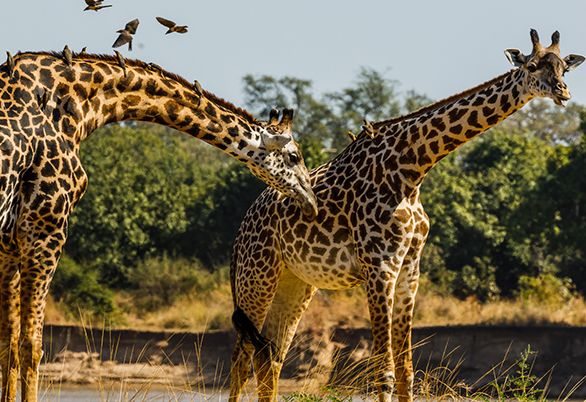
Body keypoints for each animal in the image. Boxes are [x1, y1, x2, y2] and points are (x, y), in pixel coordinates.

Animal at [0, 48, 318, 402]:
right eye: (294, 156)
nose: (311, 202)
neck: (79, 107)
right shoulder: (44, 229)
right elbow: (31, 346)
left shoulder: (11, 244)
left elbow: (8, 347)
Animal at [226, 29, 580, 400]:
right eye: (532, 66)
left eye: (563, 68)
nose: (562, 91)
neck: (412, 168)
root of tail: (241, 230)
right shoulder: (379, 267)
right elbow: (383, 371)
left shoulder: (410, 268)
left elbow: (406, 370)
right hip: (257, 276)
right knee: (241, 360)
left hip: (295, 282)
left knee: (271, 358)